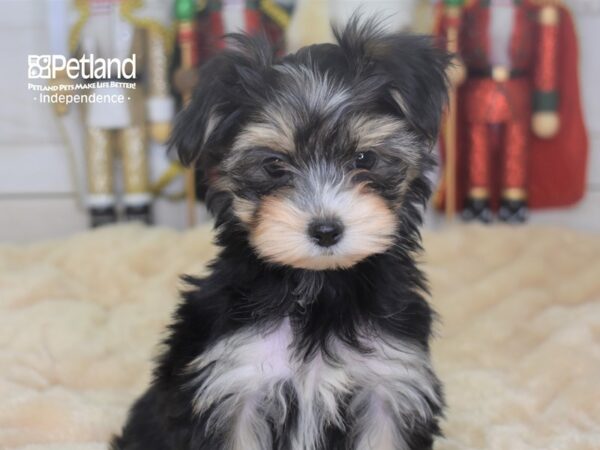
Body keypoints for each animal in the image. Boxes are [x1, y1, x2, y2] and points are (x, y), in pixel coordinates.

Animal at [113, 17, 450, 450]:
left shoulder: (389, 385)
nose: (326, 230)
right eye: (274, 166)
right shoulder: (233, 386)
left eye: (364, 159)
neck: (319, 287)